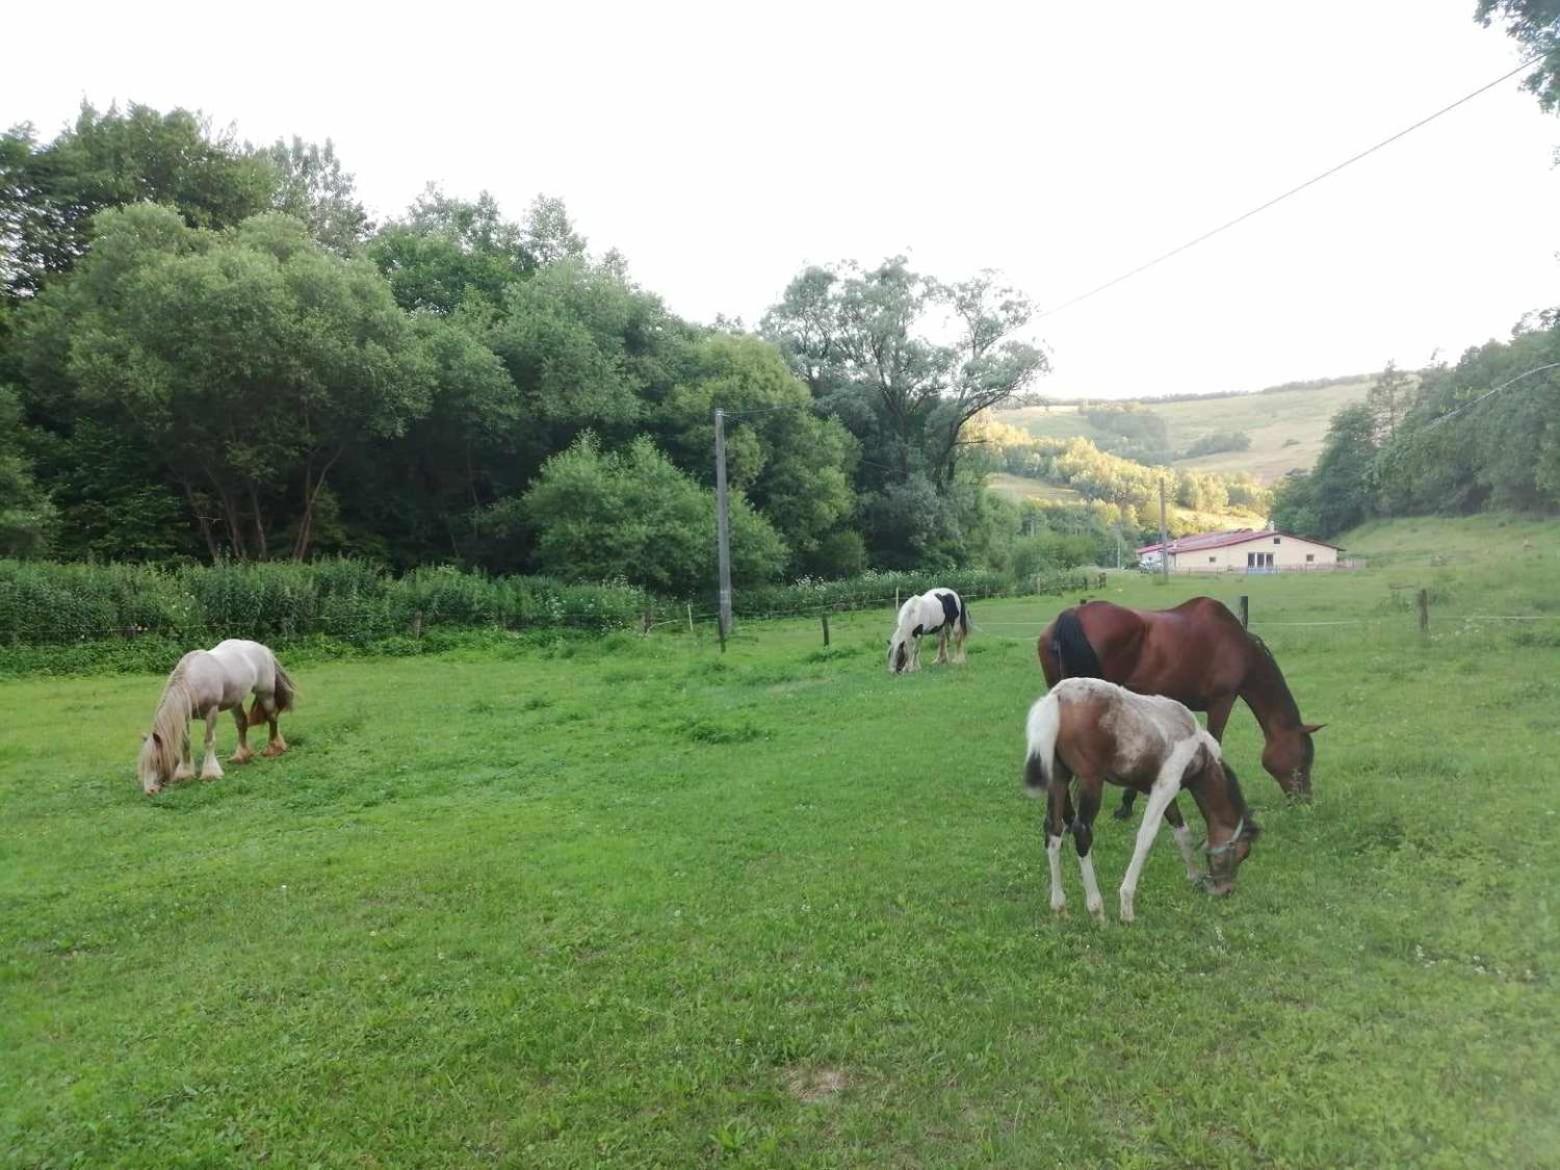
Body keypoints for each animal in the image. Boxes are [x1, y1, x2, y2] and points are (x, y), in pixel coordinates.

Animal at [136, 642, 294, 798]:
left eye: (157, 761)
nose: (150, 791)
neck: (194, 680)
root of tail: (263, 649)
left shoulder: (212, 712)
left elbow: (209, 741)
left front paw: (210, 774)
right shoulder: (185, 717)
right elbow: (185, 744)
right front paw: (185, 774)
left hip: (265, 693)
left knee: (272, 717)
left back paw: (274, 749)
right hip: (236, 702)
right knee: (242, 723)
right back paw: (241, 756)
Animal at [1023, 677, 1254, 923]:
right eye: (1243, 853)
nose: (1225, 890)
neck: (1200, 750)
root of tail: (1057, 697)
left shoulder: (1162, 789)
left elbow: (1182, 831)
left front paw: (1193, 877)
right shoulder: (1166, 787)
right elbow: (1146, 836)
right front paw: (1126, 906)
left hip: (1058, 776)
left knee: (1053, 830)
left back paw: (1059, 906)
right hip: (1090, 780)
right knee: (1082, 832)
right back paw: (1097, 910)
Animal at [1042, 599, 1322, 817]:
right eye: (1304, 759)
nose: (1304, 802)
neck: (1239, 645)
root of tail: (1073, 614)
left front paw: (1129, 803)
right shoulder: (1222, 701)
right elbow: (1214, 742)